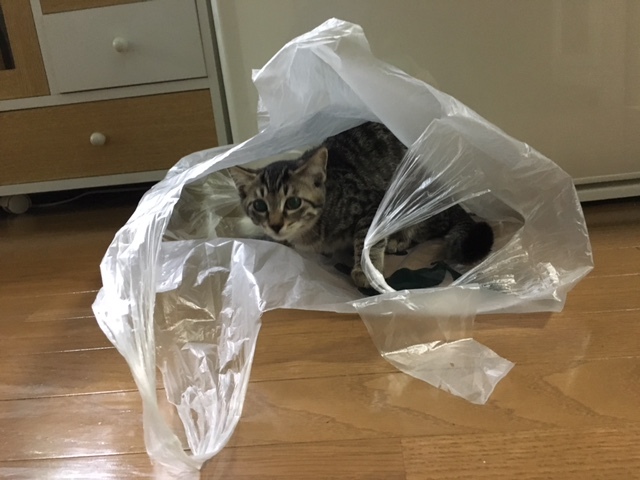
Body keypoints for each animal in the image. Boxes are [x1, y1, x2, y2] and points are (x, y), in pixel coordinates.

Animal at [228, 121, 494, 289]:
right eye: (260, 206)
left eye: (293, 202)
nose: (275, 225)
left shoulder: (372, 203)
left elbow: (367, 239)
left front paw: (366, 269)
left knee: (433, 226)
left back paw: (399, 238)